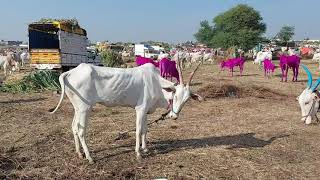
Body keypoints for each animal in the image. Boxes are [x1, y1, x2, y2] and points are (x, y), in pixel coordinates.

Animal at [50, 62, 202, 164]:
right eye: (175, 96)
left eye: (186, 100)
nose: (174, 116)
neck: (157, 84)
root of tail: (70, 72)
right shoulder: (140, 109)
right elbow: (138, 130)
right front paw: (138, 153)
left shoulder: (146, 111)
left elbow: (145, 130)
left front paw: (145, 149)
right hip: (84, 108)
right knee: (81, 131)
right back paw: (89, 157)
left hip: (78, 108)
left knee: (74, 127)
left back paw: (79, 153)